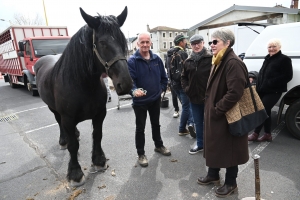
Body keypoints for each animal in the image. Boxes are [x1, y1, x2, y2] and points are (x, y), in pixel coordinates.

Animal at [33, 7, 132, 187]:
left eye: (123, 42)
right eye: (102, 43)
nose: (125, 83)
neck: (82, 84)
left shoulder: (100, 114)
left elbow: (97, 135)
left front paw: (99, 160)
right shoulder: (67, 117)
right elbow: (73, 146)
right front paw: (75, 173)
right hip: (54, 109)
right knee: (59, 123)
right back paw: (63, 140)